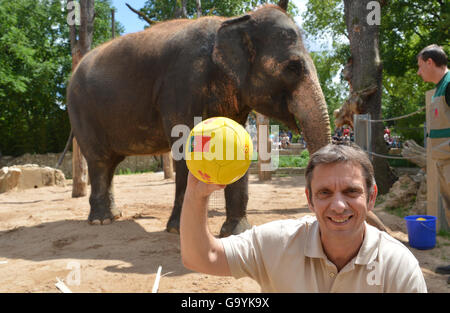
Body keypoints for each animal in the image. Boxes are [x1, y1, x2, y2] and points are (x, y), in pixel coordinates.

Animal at [68, 3, 332, 235]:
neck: (231, 22)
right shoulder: (181, 86)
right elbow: (185, 146)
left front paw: (237, 232)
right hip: (81, 111)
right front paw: (178, 231)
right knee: (100, 161)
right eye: (293, 68)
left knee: (111, 163)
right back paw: (101, 221)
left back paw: (114, 215)